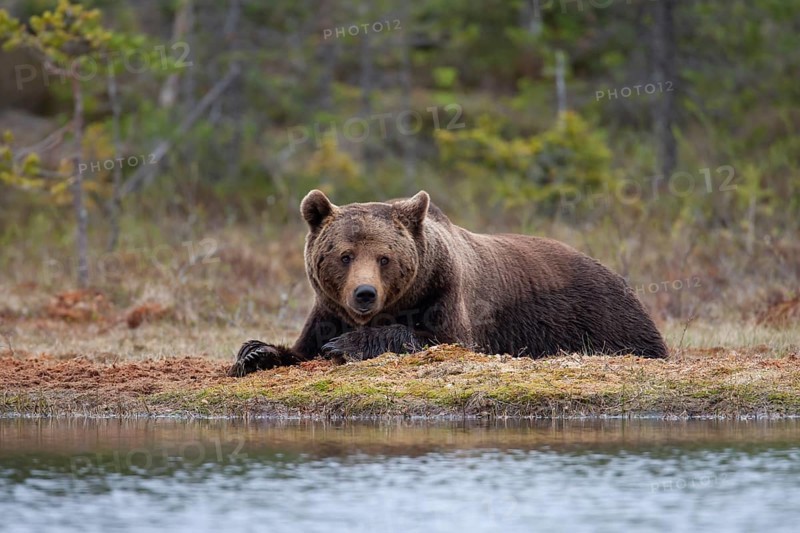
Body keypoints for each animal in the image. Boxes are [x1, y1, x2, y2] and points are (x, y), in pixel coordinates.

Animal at [228, 189, 667, 377]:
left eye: (384, 257)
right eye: (344, 255)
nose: (364, 294)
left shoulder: (447, 293)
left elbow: (441, 340)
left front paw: (346, 345)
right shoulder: (328, 309)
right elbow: (302, 348)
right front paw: (254, 352)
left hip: (601, 314)